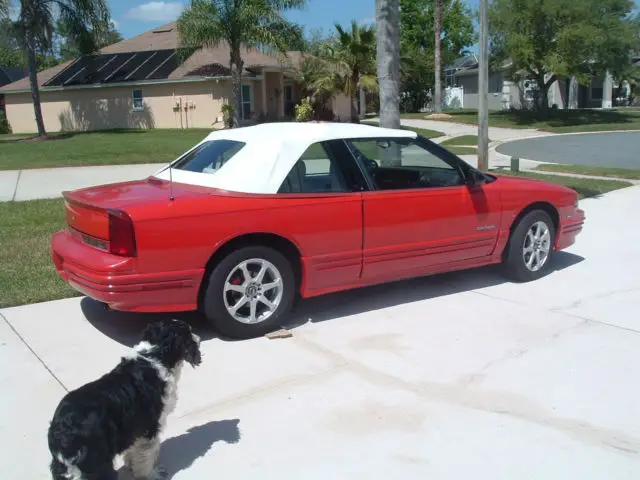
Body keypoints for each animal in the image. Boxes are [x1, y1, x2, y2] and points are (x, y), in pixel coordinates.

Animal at [47, 318, 201, 480]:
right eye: (189, 332)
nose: (199, 338)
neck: (155, 354)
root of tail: (63, 430)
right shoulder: (150, 426)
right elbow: (147, 456)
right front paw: (151, 474)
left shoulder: (134, 427)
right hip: (99, 464)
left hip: (61, 466)